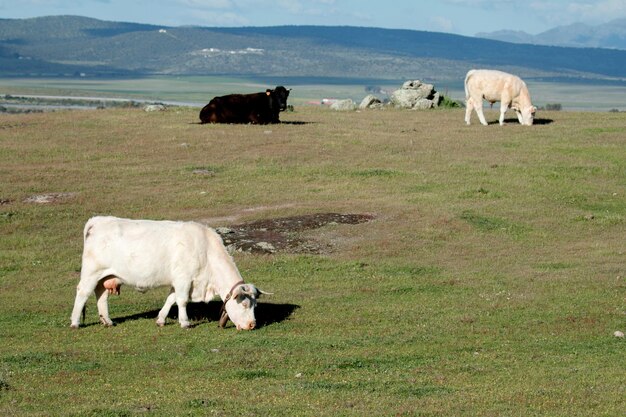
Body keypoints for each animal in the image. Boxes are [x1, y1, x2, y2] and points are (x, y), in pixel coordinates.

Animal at [70, 216, 268, 330]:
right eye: (244, 305)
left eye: (256, 305)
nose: (252, 325)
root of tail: (97, 220)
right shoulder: (183, 279)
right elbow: (182, 301)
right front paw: (185, 322)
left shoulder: (178, 282)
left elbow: (171, 299)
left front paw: (161, 319)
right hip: (91, 272)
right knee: (82, 293)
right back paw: (75, 322)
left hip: (106, 276)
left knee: (101, 295)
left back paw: (107, 321)